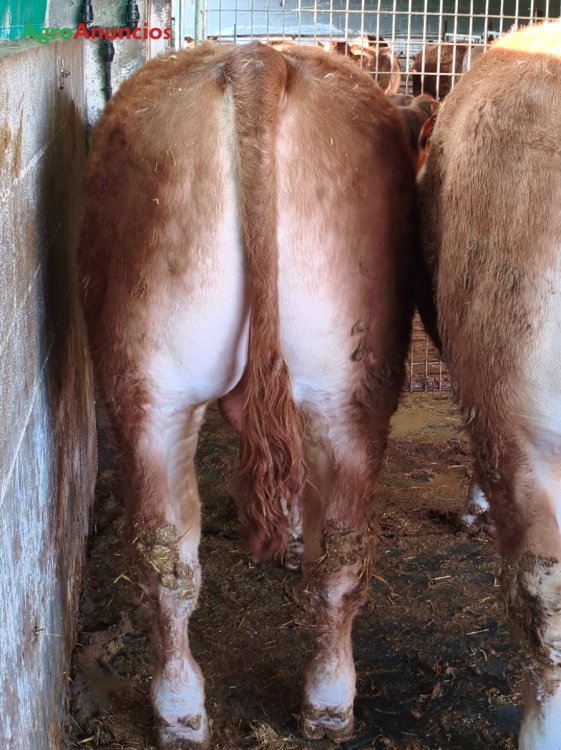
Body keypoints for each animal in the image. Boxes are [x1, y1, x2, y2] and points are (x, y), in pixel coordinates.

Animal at [78, 41, 418, 748]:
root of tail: (257, 59)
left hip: (154, 387)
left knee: (170, 558)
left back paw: (187, 710)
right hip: (343, 390)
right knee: (333, 554)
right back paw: (319, 701)